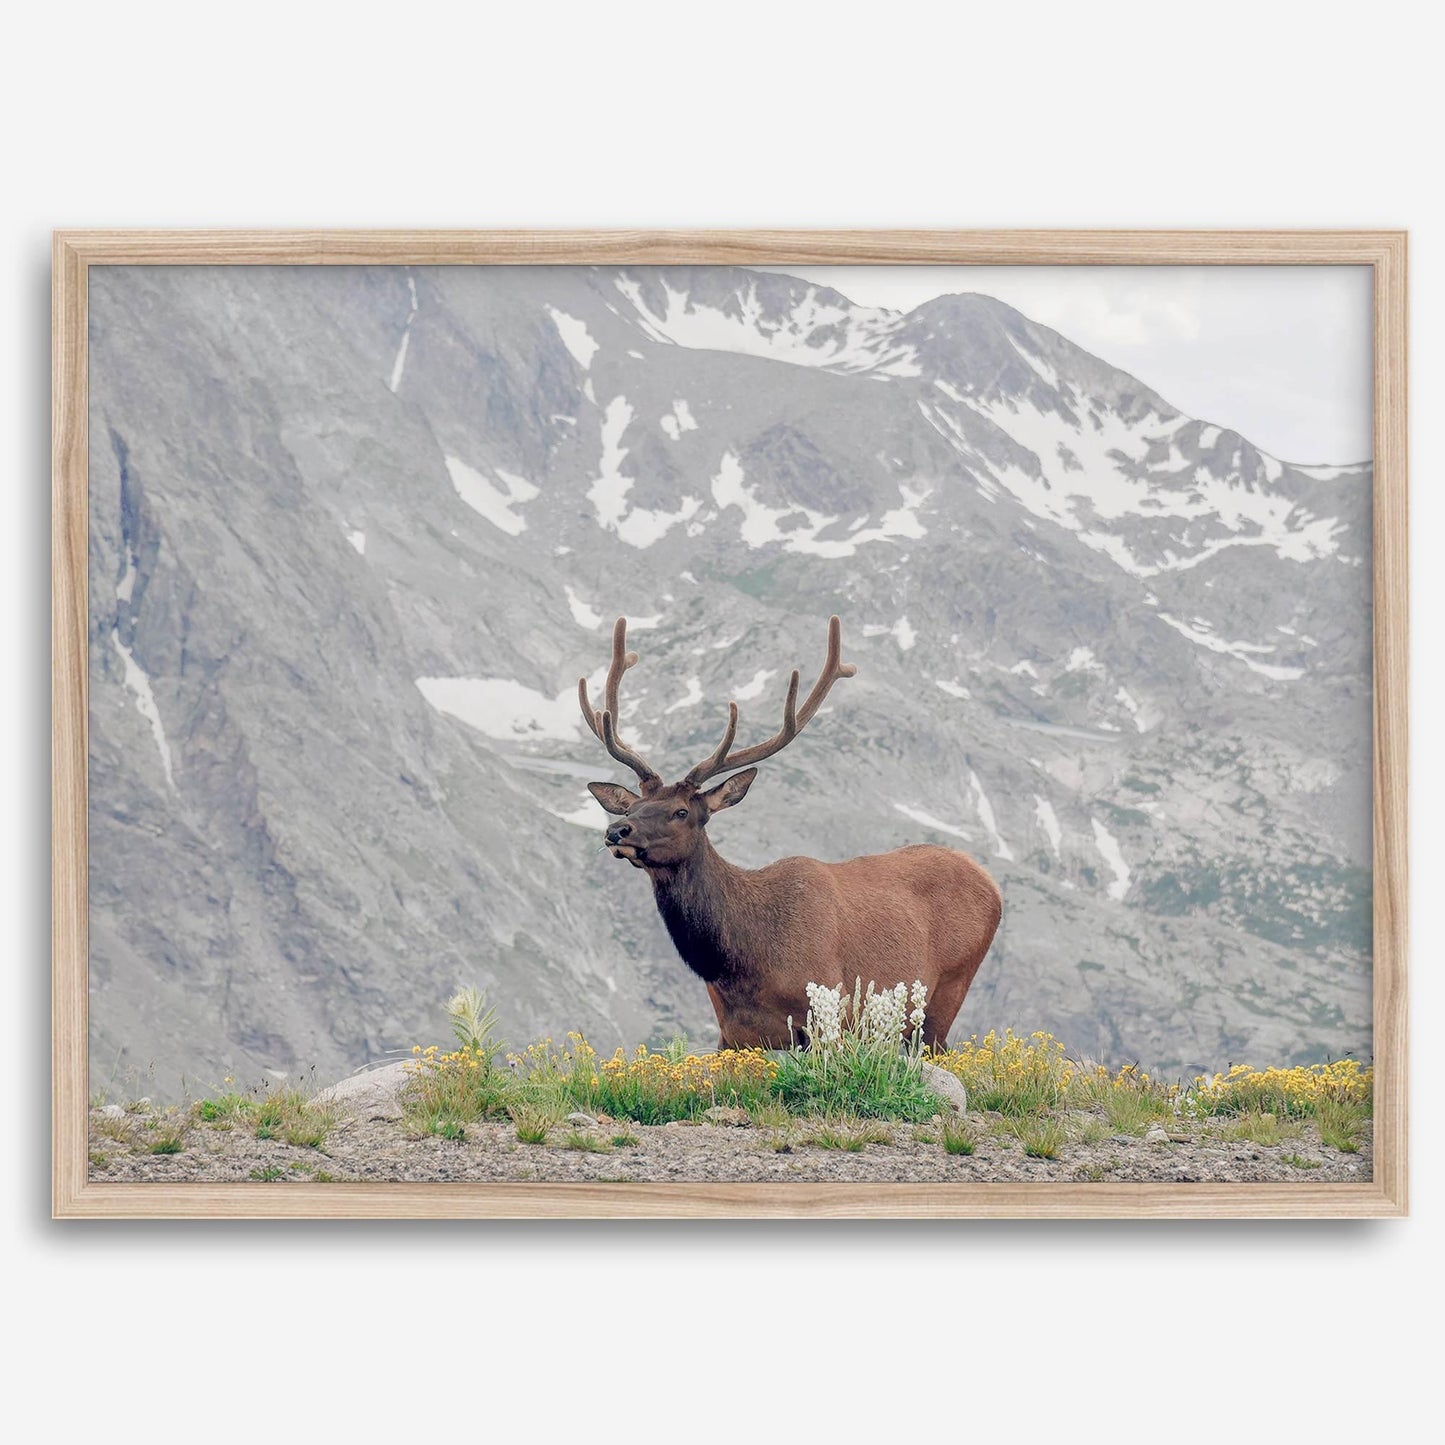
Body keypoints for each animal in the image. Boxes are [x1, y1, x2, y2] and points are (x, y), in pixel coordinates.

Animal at [581, 615, 1002, 1051]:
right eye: (631, 807)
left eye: (681, 811)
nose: (617, 830)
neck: (743, 963)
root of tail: (990, 882)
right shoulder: (732, 1034)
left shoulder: (830, 1010)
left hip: (949, 990)